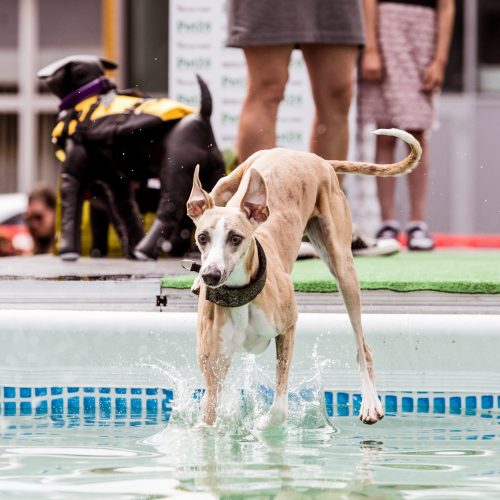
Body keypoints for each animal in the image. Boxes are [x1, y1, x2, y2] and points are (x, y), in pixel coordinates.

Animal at [38, 55, 226, 260]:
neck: (88, 98)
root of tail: (202, 117)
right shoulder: (116, 183)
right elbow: (127, 214)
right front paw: (131, 248)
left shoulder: (71, 176)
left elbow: (70, 211)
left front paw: (68, 252)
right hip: (215, 173)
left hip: (175, 171)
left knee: (170, 209)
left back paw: (145, 250)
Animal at [186, 127, 420, 428]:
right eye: (202, 237)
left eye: (236, 238)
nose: (211, 276)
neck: (241, 294)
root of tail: (309, 156)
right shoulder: (213, 368)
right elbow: (209, 416)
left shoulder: (288, 327)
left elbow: (278, 408)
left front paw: (261, 429)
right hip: (227, 182)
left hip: (342, 266)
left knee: (363, 346)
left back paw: (370, 403)